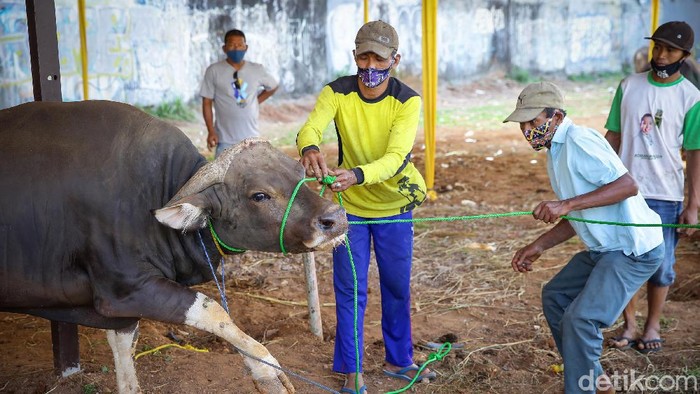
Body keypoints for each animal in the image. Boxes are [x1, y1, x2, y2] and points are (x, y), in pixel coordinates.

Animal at [0, 101, 348, 394]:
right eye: (259, 195)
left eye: (301, 172)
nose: (335, 218)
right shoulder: (123, 290)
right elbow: (213, 309)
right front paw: (268, 371)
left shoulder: (124, 306)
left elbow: (125, 352)